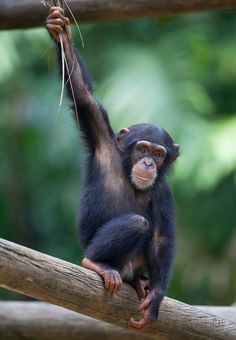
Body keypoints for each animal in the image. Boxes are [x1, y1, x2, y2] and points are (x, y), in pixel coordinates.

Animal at [45, 6, 179, 330]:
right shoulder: (101, 138)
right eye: (142, 148)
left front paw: (156, 296)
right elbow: (83, 95)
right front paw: (61, 31)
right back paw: (96, 263)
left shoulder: (165, 192)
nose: (147, 162)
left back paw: (142, 284)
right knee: (136, 224)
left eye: (159, 154)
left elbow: (162, 237)